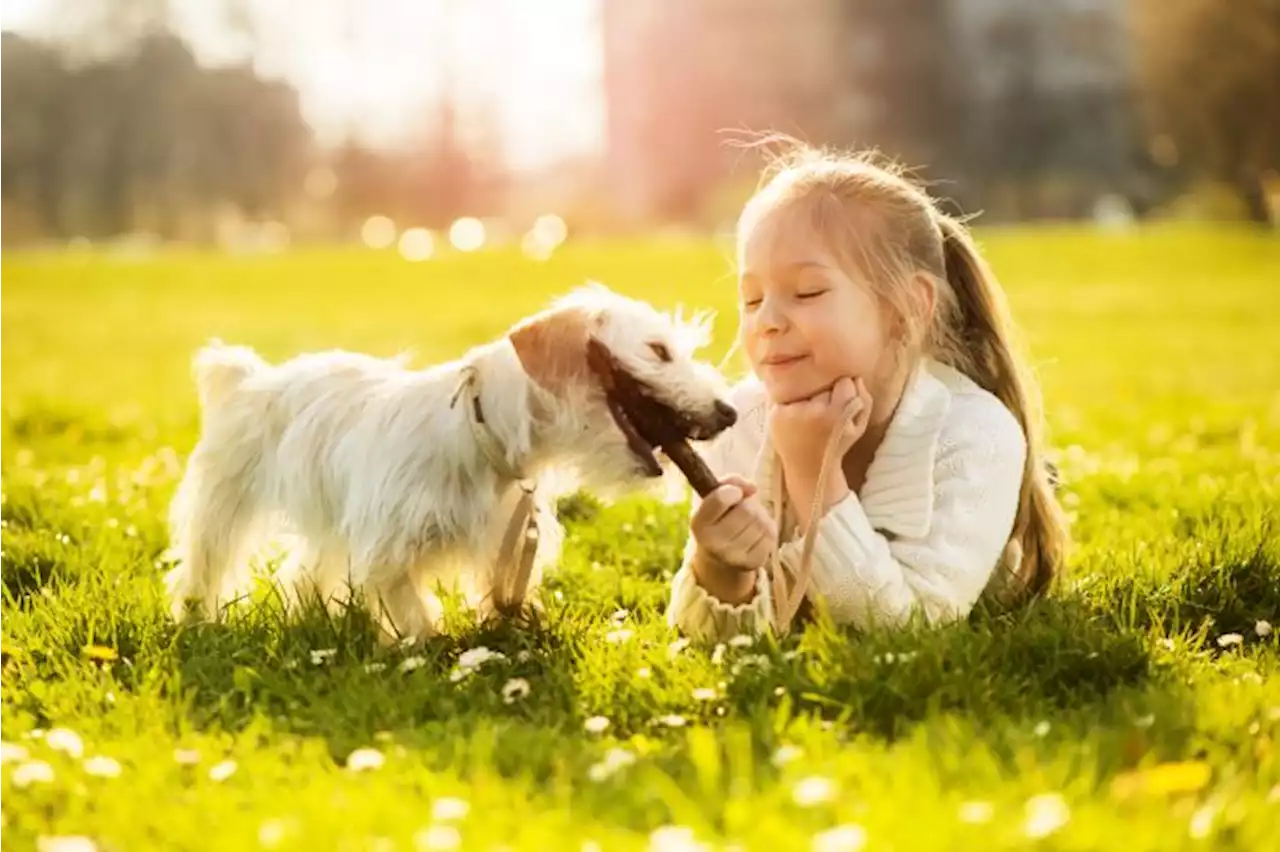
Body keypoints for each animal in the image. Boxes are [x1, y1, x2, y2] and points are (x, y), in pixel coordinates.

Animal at [162, 281, 742, 639]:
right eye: (659, 351)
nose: (729, 412)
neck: (480, 432)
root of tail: (249, 378)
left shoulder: (505, 546)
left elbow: (497, 597)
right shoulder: (388, 547)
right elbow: (411, 610)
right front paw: (429, 647)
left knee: (302, 573)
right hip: (222, 507)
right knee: (203, 567)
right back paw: (195, 621)